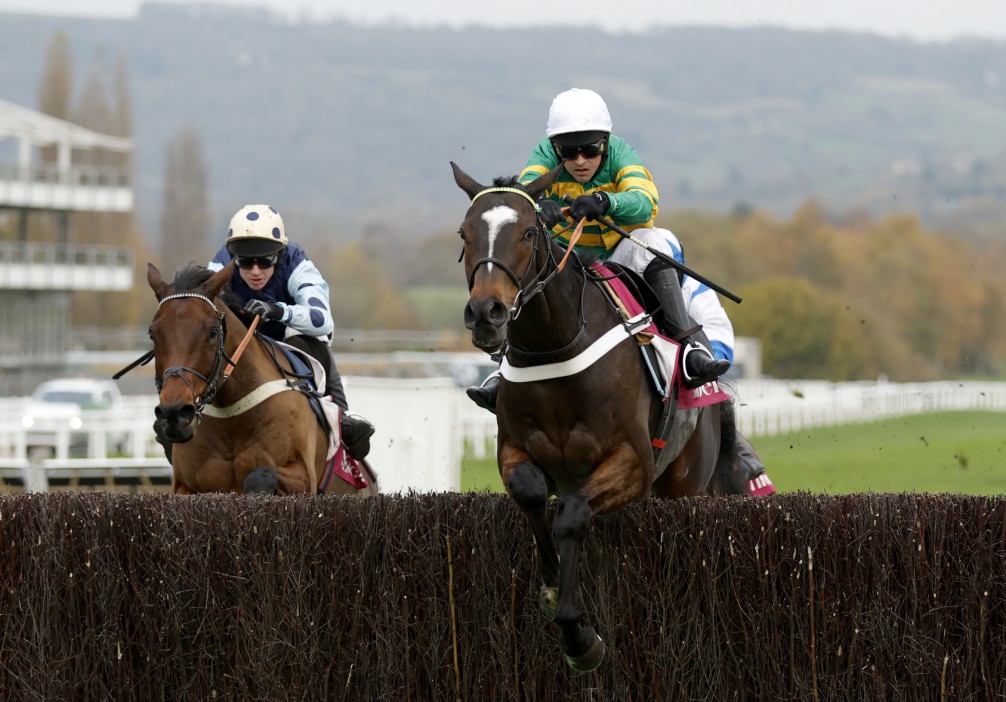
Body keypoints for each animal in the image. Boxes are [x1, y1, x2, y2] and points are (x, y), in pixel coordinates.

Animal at [141, 259, 378, 494]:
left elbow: (260, 476)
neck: (232, 417)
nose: (175, 413)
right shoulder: (184, 485)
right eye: (153, 334)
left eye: (212, 332)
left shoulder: (304, 475)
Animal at [452, 160, 744, 671]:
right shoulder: (514, 450)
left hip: (684, 482)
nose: (487, 313)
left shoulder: (632, 462)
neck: (556, 347)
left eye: (529, 231)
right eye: (465, 234)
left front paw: (578, 636)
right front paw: (552, 589)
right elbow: (531, 493)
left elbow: (571, 515)